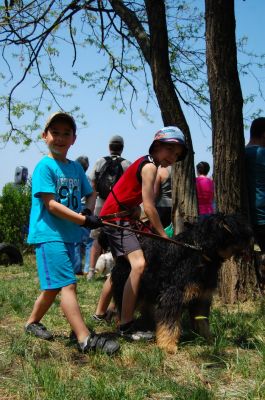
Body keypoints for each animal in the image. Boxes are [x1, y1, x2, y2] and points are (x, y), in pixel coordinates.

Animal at [111, 214, 252, 352]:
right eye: (240, 228)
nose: (252, 238)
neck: (199, 251)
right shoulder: (173, 294)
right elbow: (169, 323)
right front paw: (167, 345)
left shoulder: (201, 297)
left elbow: (202, 322)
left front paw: (208, 339)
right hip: (129, 286)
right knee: (122, 308)